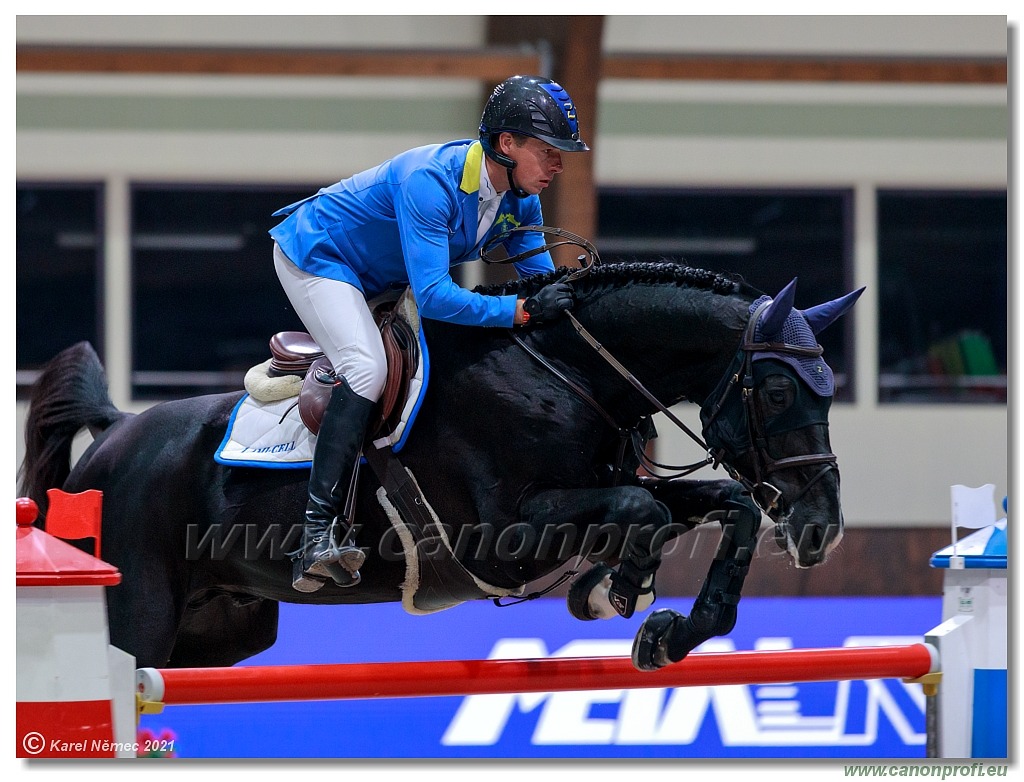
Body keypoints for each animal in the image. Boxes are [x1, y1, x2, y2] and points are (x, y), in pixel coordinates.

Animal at [19, 261, 860, 671]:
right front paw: (614, 589)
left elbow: (729, 507)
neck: (567, 374)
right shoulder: (501, 538)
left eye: (832, 388)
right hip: (138, 613)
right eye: (777, 389)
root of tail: (116, 436)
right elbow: (643, 511)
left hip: (217, 631)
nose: (821, 528)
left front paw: (669, 632)